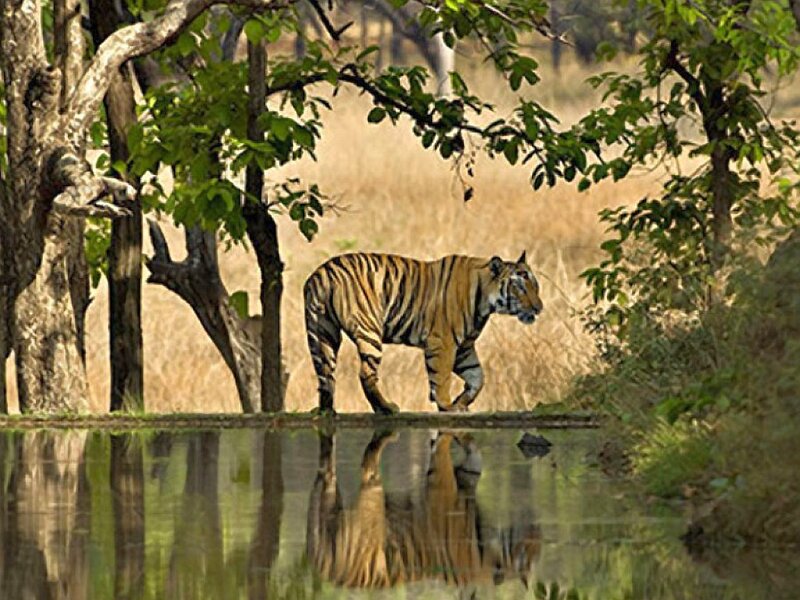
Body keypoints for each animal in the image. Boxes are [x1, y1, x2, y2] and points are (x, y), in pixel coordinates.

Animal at [303, 251, 544, 414]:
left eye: (536, 286)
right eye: (520, 288)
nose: (539, 308)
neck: (485, 302)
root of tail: (323, 273)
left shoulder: (464, 347)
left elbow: (478, 377)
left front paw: (462, 402)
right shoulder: (443, 342)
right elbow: (442, 377)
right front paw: (447, 405)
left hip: (322, 333)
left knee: (325, 375)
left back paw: (326, 412)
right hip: (369, 329)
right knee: (365, 374)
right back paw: (387, 408)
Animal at [306, 430, 541, 589]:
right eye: (528, 550)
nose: (537, 529)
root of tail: (324, 571)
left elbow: (473, 459)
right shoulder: (444, 487)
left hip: (326, 508)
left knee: (326, 478)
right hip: (371, 505)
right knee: (368, 469)